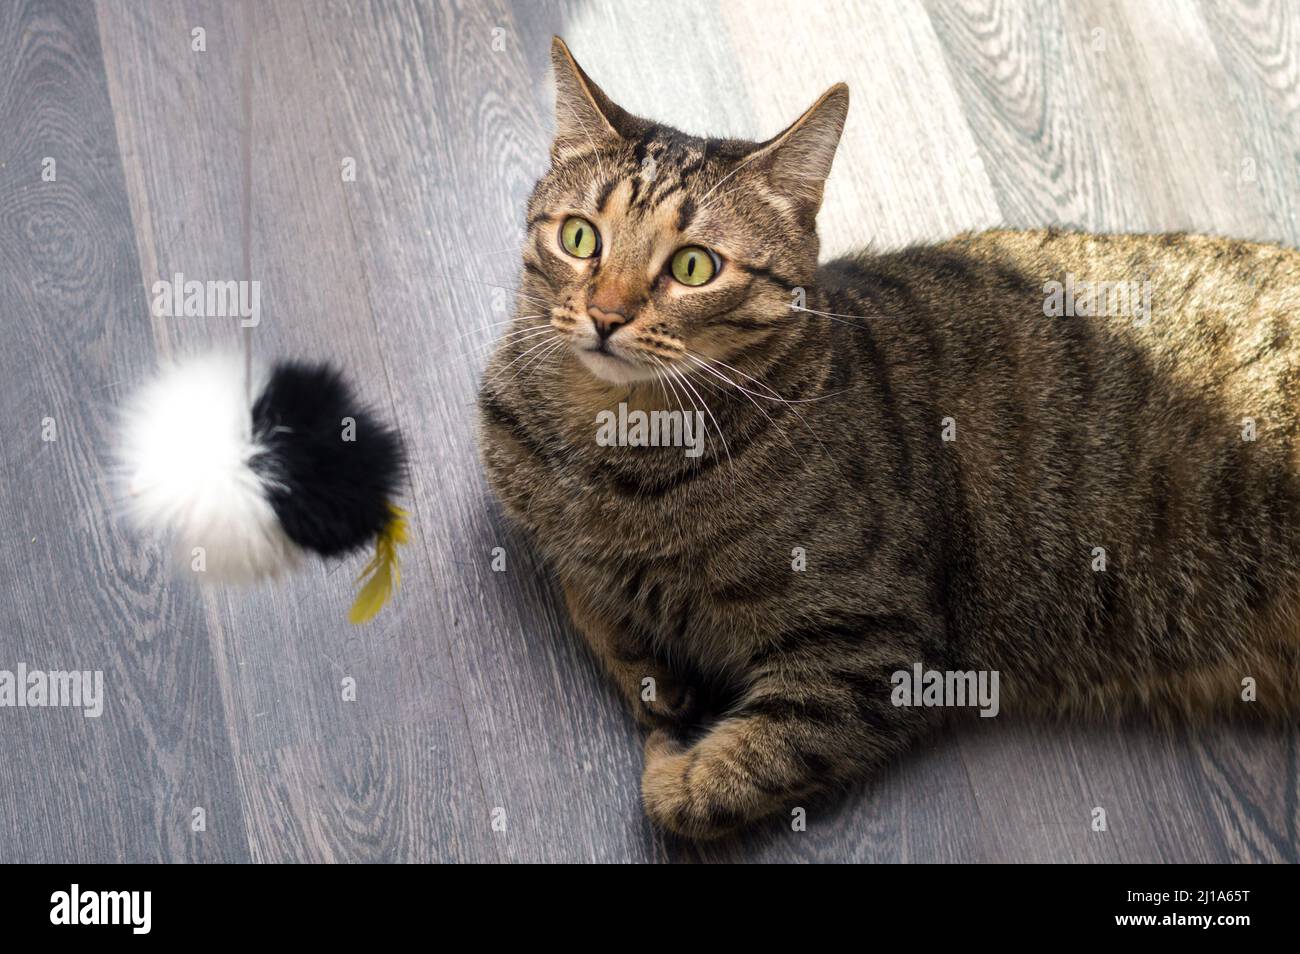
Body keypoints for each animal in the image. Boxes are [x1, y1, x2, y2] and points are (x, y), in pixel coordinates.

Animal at [478, 39, 1300, 842]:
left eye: (692, 266)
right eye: (580, 237)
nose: (605, 314)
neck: (615, 444)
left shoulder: (876, 649)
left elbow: (717, 784)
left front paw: (669, 763)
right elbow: (579, 583)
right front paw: (647, 663)